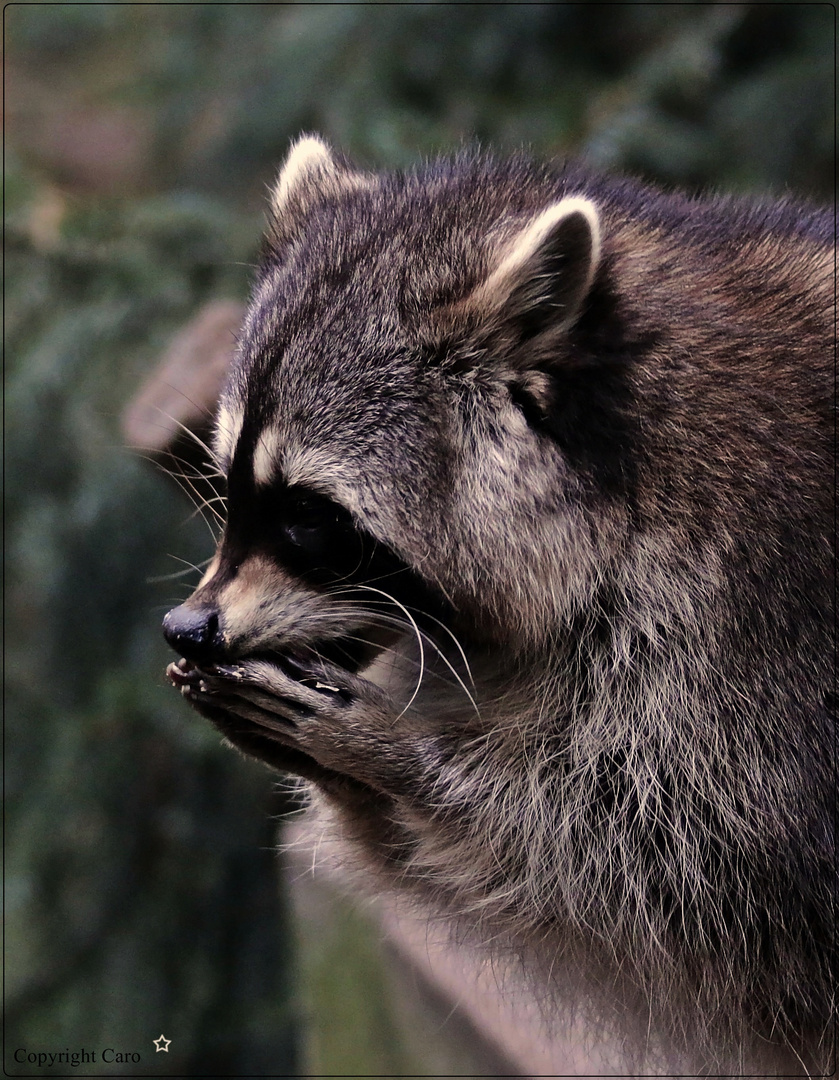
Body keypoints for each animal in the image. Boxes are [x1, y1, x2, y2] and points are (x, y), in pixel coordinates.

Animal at [164, 135, 829, 1071]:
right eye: (231, 489)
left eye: (308, 518)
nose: (185, 627)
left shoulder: (754, 639)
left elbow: (689, 888)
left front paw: (399, 760)